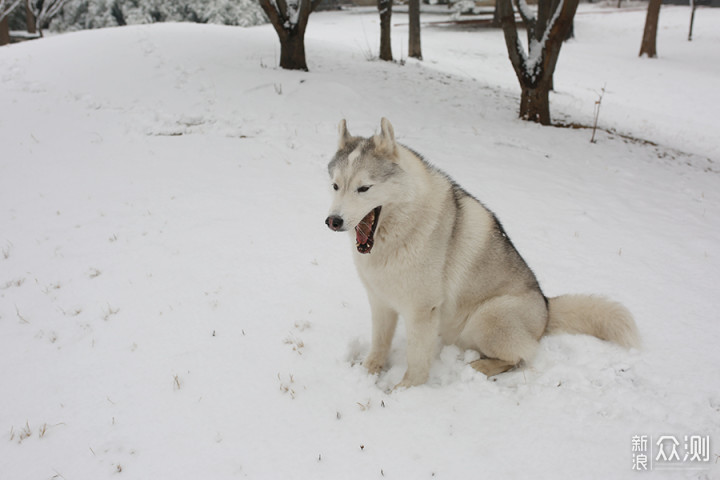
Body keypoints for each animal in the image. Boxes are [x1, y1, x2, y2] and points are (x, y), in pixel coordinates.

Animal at [324, 118, 640, 388]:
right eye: (335, 186)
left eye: (364, 188)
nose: (333, 221)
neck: (398, 233)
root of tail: (547, 307)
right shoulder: (380, 301)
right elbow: (379, 344)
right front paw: (368, 372)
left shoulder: (423, 311)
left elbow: (416, 361)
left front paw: (404, 391)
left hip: (487, 318)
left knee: (522, 356)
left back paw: (481, 366)